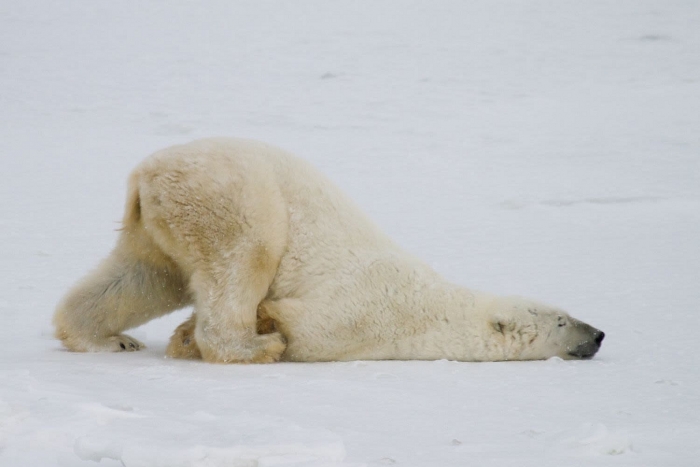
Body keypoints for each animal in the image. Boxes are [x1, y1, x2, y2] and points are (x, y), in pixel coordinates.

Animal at [54, 139, 604, 366]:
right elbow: (302, 327)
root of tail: (145, 175)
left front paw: (182, 338)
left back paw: (108, 339)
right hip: (228, 197)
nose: (598, 334)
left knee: (143, 277)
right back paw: (252, 347)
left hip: (160, 225)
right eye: (562, 319)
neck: (435, 310)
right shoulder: (367, 312)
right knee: (244, 256)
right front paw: (257, 328)